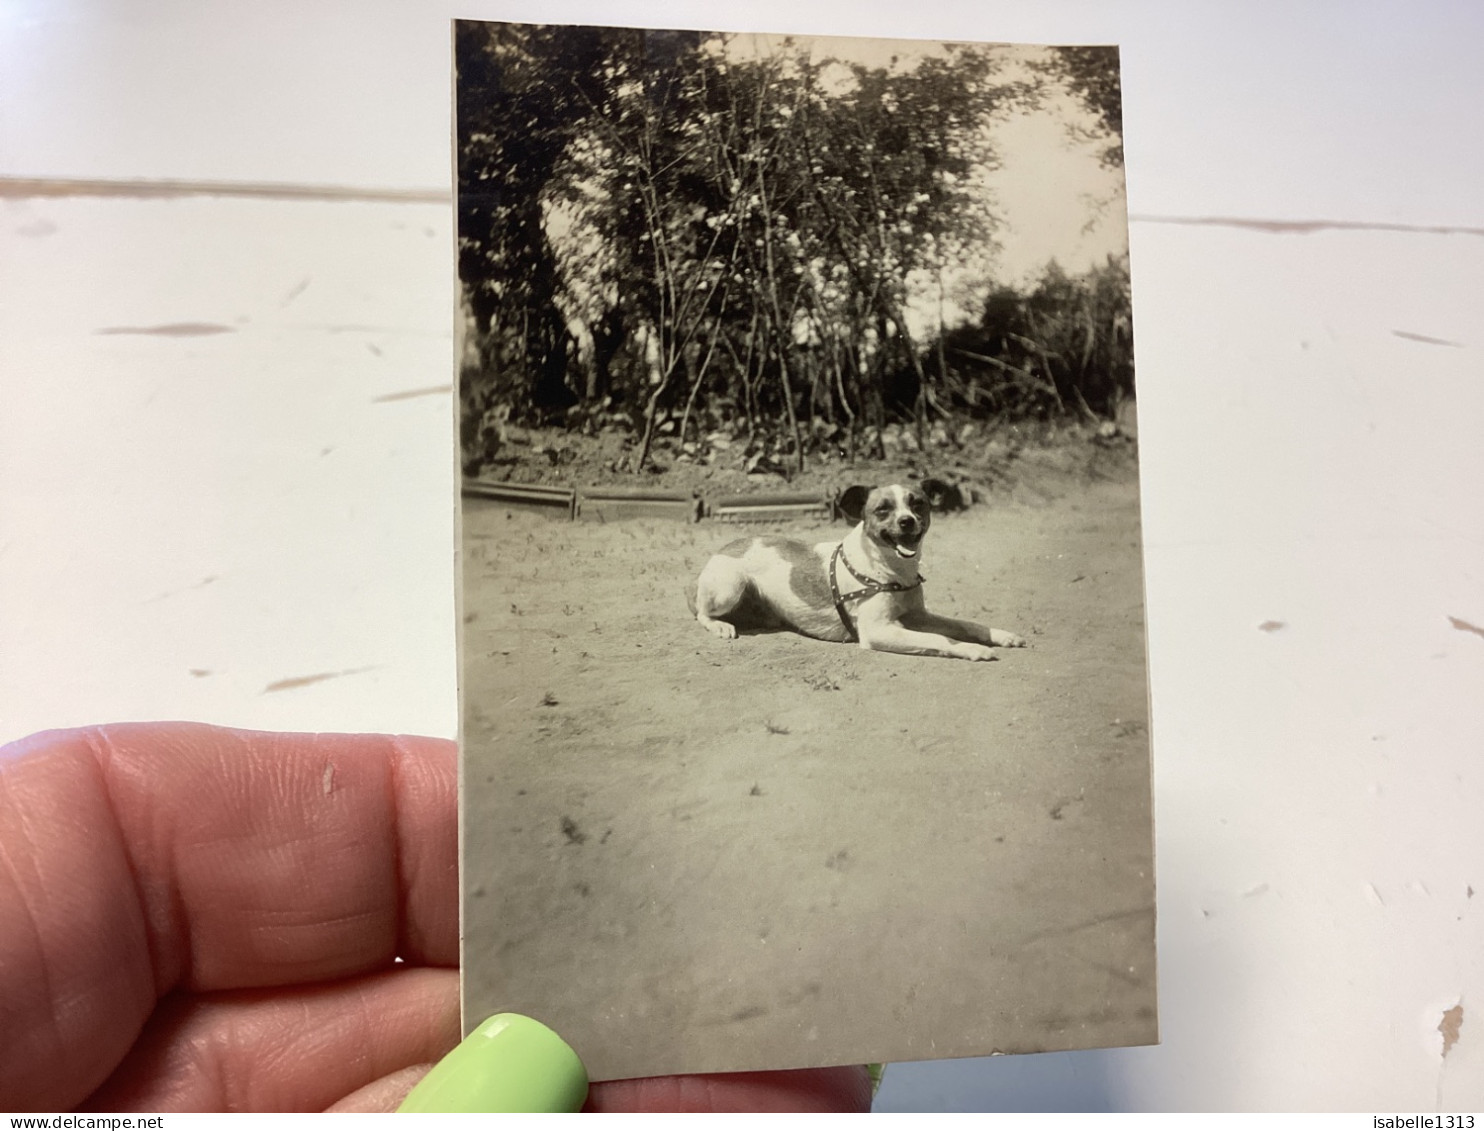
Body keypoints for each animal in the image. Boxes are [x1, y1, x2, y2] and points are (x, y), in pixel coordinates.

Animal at [691, 477, 1020, 661]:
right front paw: (973, 649)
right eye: (883, 509)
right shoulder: (878, 630)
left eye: (918, 504)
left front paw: (1001, 635)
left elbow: (966, 624)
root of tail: (726, 547)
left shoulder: (918, 616)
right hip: (729, 588)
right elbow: (940, 639)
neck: (890, 570)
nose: (907, 522)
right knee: (700, 613)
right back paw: (720, 626)